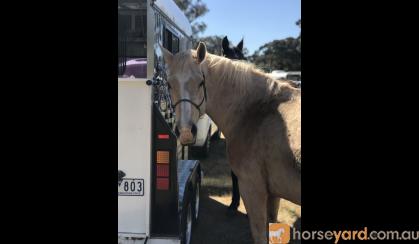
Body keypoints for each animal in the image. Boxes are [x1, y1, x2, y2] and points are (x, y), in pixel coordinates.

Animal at [161, 43, 302, 243]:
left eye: (201, 82)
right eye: (169, 84)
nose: (186, 132)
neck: (256, 112)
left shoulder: (253, 189)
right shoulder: (274, 195)